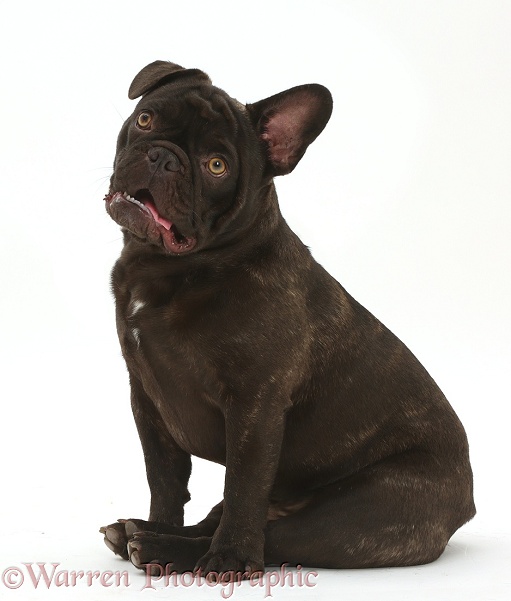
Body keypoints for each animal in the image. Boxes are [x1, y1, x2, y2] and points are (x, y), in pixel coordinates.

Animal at [100, 59, 476, 572]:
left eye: (216, 166)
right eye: (145, 120)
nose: (163, 157)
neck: (165, 268)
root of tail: (466, 505)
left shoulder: (254, 405)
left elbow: (243, 486)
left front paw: (227, 563)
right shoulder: (147, 400)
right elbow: (165, 477)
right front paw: (160, 520)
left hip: (356, 515)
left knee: (271, 537)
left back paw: (179, 550)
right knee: (223, 519)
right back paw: (142, 533)